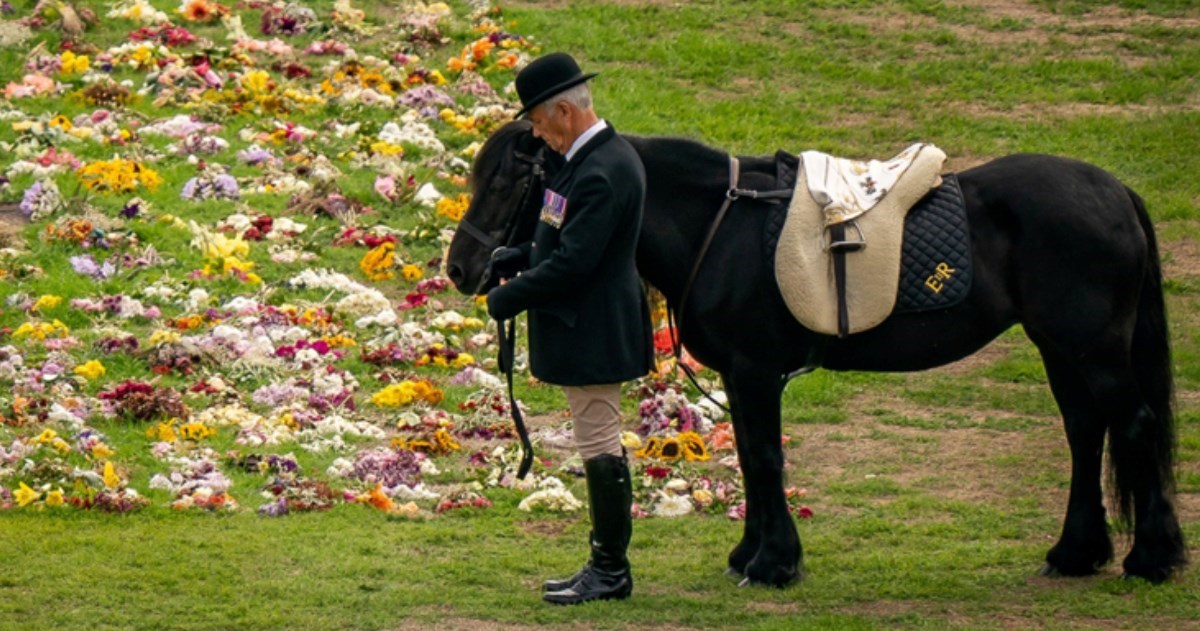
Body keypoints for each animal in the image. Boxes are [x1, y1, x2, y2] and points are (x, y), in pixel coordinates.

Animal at [446, 119, 1185, 587]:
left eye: (507, 183)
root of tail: (1115, 192)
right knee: (1087, 432)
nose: (461, 269)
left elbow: (765, 458)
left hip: (1092, 349)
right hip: (1060, 346)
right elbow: (752, 458)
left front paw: (773, 564)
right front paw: (750, 554)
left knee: (1134, 425)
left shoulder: (754, 370)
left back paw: (1152, 556)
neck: (721, 223)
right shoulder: (741, 375)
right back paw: (1076, 552)